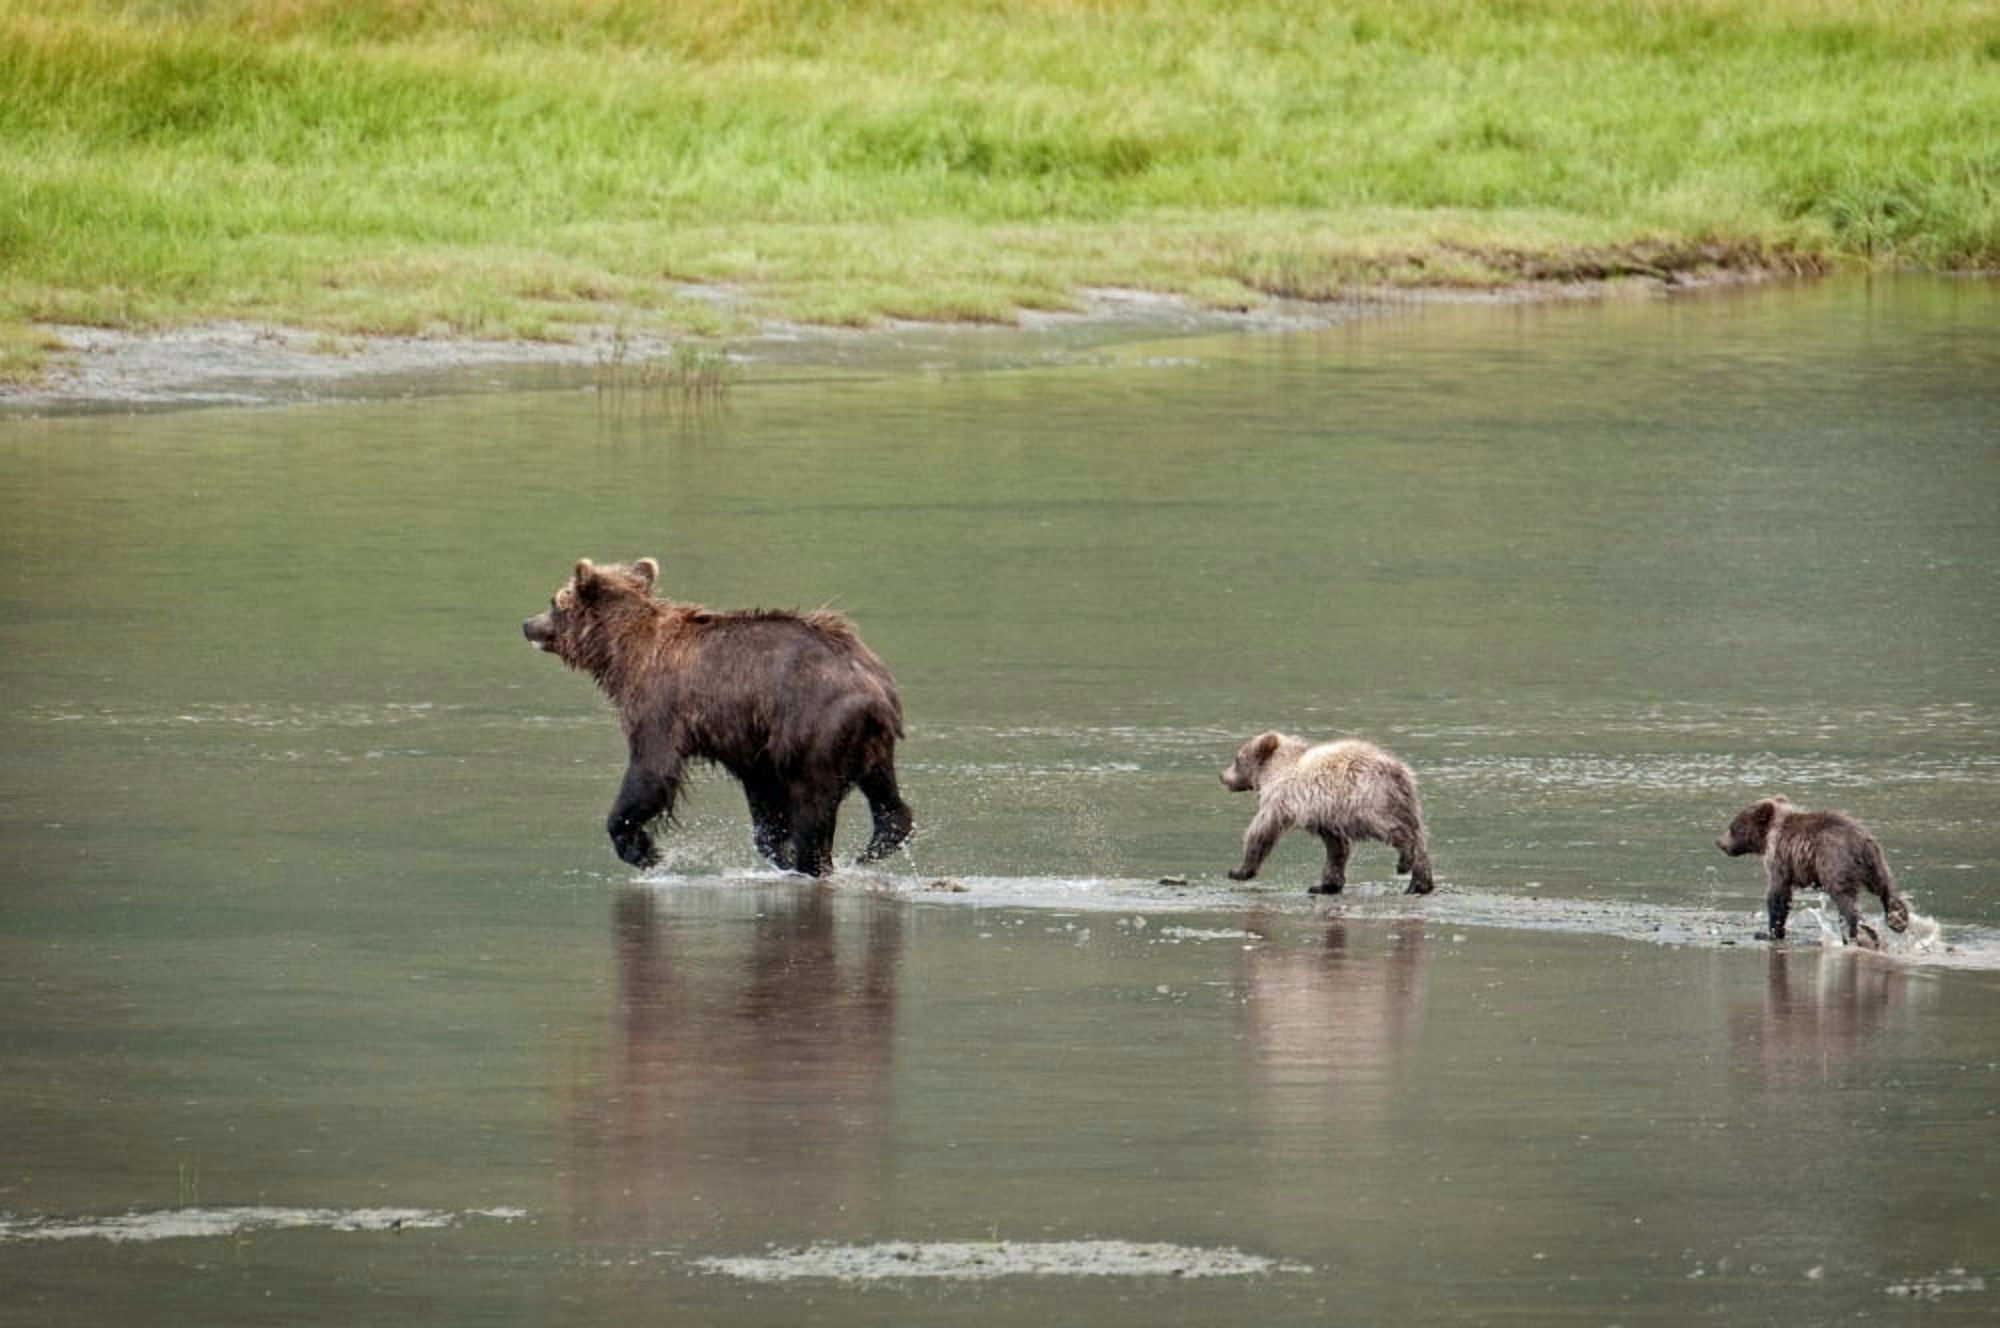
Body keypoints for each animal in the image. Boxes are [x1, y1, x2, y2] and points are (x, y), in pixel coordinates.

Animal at [522, 557, 913, 877]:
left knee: (812, 804)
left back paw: (814, 863)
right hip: (868, 739)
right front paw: (777, 848)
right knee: (885, 793)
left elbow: (651, 769)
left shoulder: (660, 705)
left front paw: (641, 848)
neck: (622, 656)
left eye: (554, 602)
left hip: (816, 727)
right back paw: (877, 844)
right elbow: (765, 803)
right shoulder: (753, 744)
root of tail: (873, 688)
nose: (527, 624)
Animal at [1220, 732, 1434, 894]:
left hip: (1367, 801)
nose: (1222, 776)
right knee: (1420, 836)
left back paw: (1404, 863)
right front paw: (1324, 885)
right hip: (1406, 803)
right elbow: (1336, 848)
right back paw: (1420, 884)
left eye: (1236, 759)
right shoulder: (1326, 815)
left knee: (1393, 829)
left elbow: (1261, 830)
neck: (1271, 770)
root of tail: (1396, 769)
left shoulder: (1279, 799)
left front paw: (1238, 870)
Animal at [1715, 795, 1909, 945]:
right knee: (1884, 887)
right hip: (1875, 862)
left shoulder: (1779, 857)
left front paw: (1769, 932)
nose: (1719, 842)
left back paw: (1858, 933)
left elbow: (1778, 893)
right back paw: (1898, 920)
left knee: (1845, 899)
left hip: (1835, 864)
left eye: (1733, 827)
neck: (1767, 836)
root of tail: (1860, 841)